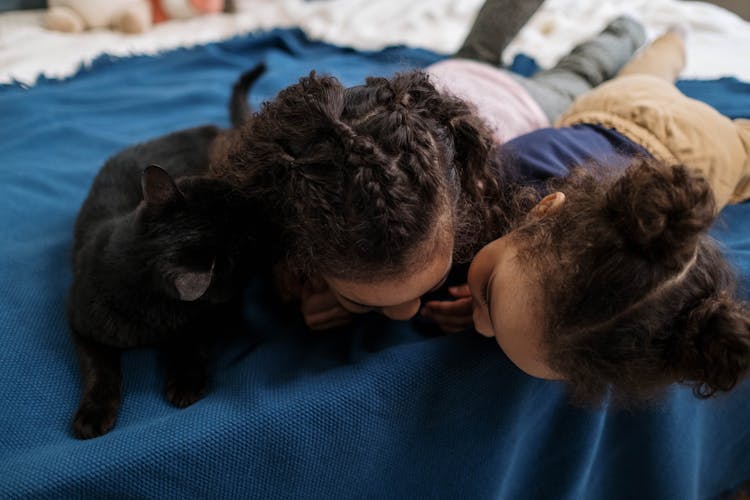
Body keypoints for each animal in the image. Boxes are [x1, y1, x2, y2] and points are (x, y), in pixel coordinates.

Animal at [68, 64, 268, 440]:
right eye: (247, 241)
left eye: (229, 194)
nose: (257, 206)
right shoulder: (80, 324)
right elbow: (100, 369)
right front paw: (93, 414)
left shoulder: (218, 315)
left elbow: (193, 341)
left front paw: (185, 381)